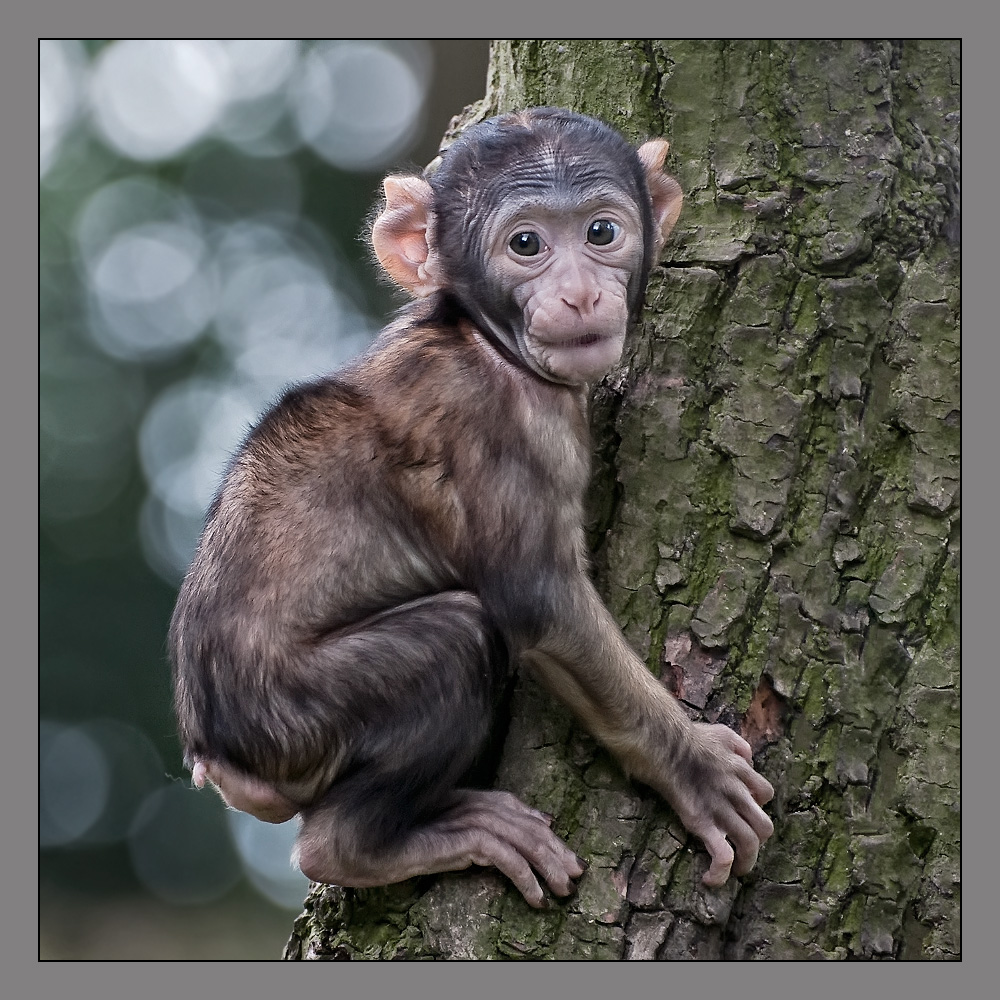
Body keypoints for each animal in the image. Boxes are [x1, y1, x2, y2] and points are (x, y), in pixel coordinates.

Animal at [170, 107, 772, 908]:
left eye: (601, 232)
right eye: (526, 244)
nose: (581, 293)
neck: (483, 338)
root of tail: (218, 758)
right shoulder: (503, 426)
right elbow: (540, 604)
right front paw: (694, 767)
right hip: (294, 720)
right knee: (455, 640)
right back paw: (365, 846)